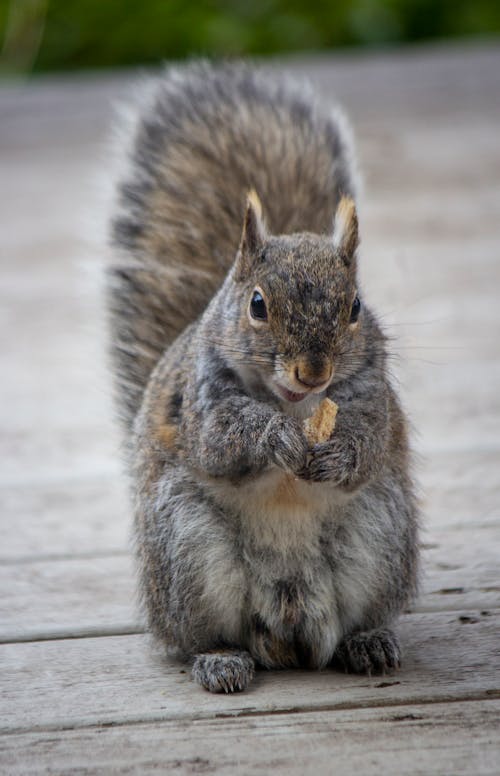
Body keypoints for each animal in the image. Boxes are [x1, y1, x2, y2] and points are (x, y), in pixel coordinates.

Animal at [108, 60, 418, 692]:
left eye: (355, 306)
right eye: (256, 304)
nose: (313, 370)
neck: (295, 403)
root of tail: (289, 623)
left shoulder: (370, 394)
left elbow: (369, 441)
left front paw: (338, 453)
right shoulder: (202, 399)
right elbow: (224, 438)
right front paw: (276, 439)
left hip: (379, 534)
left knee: (351, 623)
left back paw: (368, 642)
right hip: (187, 549)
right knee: (202, 635)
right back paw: (220, 659)